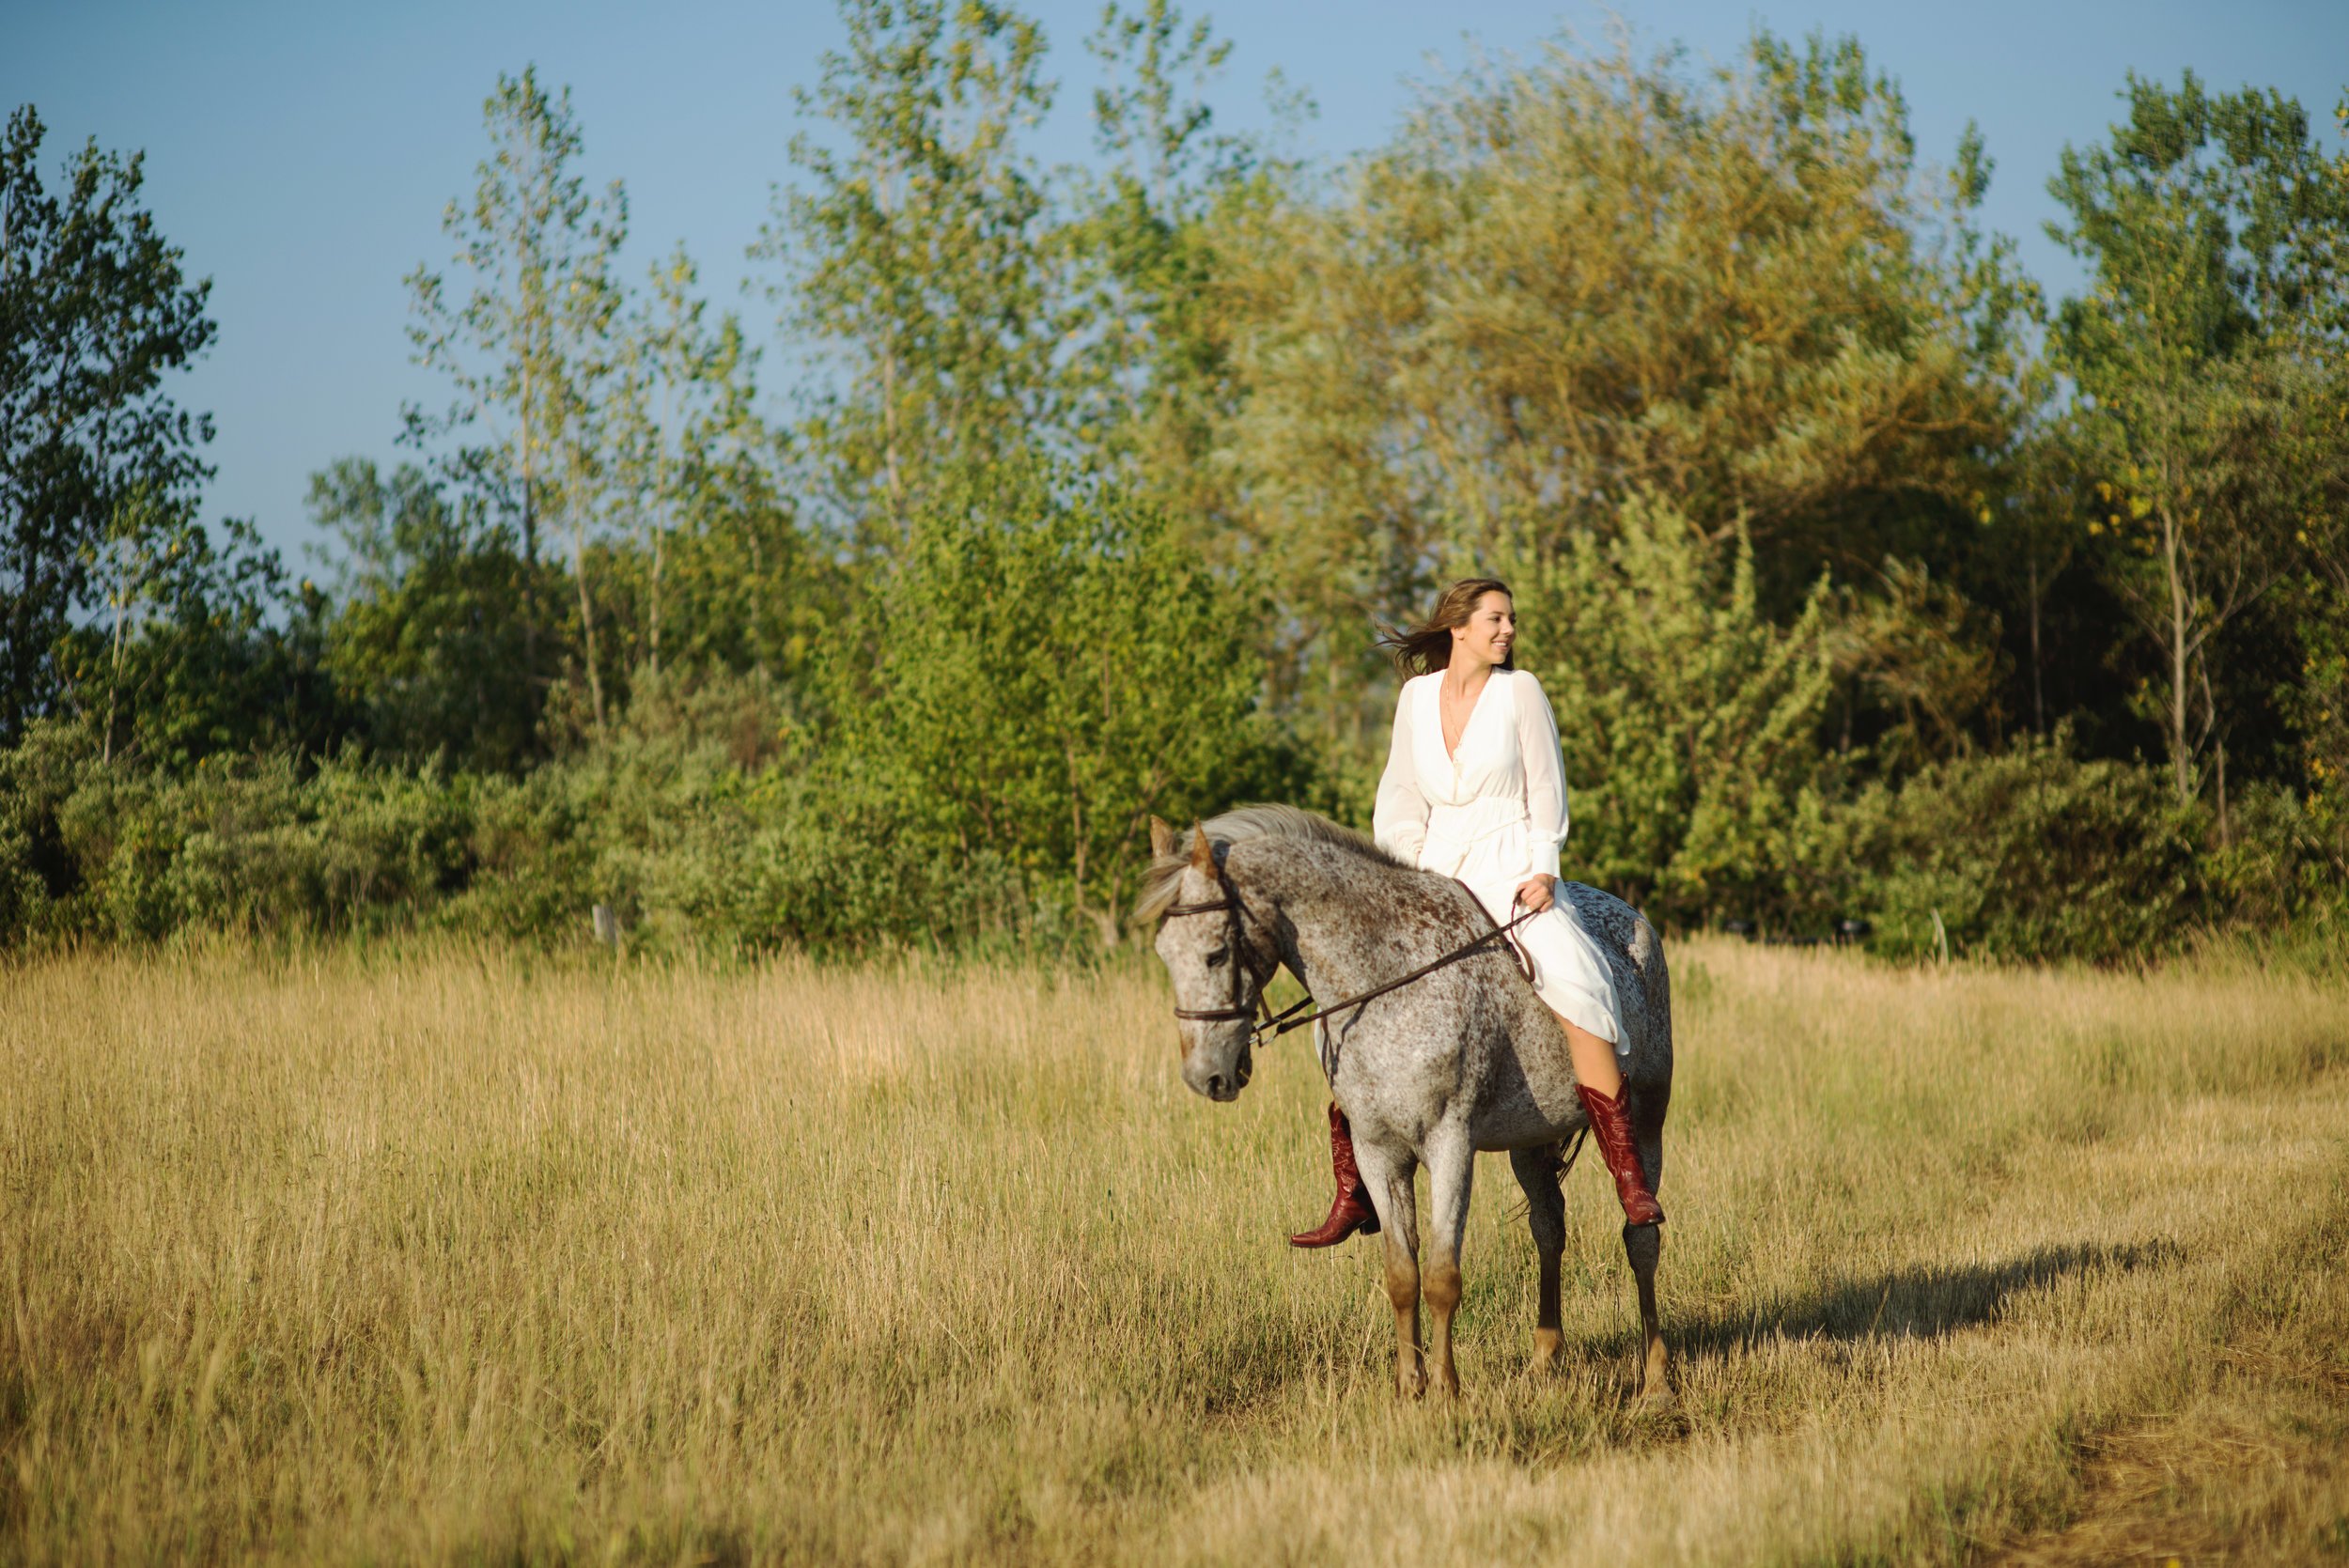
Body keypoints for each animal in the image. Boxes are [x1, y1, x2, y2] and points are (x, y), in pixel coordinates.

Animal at [1142, 807, 1672, 1399]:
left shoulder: (1450, 1145)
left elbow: (1442, 1275)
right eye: (1165, 954)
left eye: (1215, 953)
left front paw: (1444, 1389)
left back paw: (1656, 1378)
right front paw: (1409, 1387)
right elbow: (1402, 1275)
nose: (1205, 1075)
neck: (1387, 978)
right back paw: (1544, 1359)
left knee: (1640, 1236)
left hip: (1647, 1117)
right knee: (1549, 1229)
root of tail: (1636, 920)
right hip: (1529, 1141)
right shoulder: (1378, 1152)